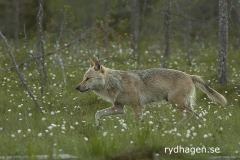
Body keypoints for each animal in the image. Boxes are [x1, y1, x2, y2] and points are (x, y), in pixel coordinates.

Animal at [75, 58, 227, 127]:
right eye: (83, 78)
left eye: (88, 78)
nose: (77, 87)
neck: (116, 83)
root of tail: (190, 75)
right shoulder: (119, 108)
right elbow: (98, 113)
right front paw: (98, 126)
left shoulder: (137, 106)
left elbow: (138, 122)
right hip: (182, 104)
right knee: (198, 117)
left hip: (175, 103)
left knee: (190, 114)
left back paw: (176, 127)